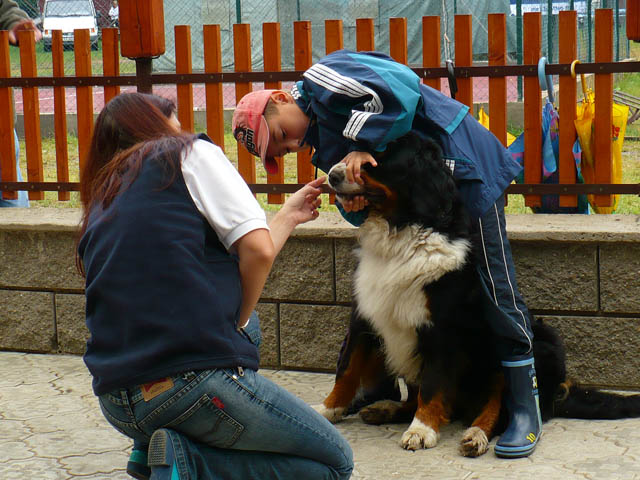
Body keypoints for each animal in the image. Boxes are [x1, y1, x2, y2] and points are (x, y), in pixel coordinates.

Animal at [318, 132, 640, 458]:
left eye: (377, 157)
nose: (332, 175)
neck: (404, 231)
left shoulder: (442, 329)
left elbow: (432, 385)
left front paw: (421, 430)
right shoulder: (366, 314)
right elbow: (347, 369)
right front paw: (326, 411)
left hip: (536, 344)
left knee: (502, 408)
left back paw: (477, 435)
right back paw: (385, 408)